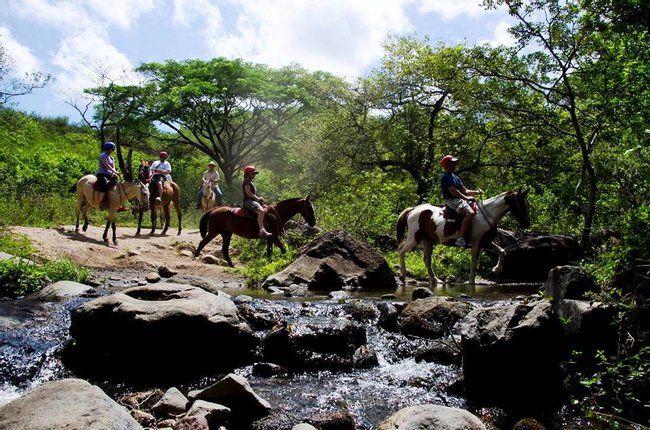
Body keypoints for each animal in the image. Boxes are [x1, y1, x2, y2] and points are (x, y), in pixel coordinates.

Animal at [394, 189, 528, 286]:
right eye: (521, 203)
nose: (526, 223)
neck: (487, 215)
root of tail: (413, 210)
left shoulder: (485, 242)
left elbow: (502, 251)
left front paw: (496, 269)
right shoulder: (476, 244)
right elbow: (474, 264)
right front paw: (470, 282)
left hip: (427, 241)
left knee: (427, 260)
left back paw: (435, 280)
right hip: (414, 238)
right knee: (401, 250)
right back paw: (403, 275)